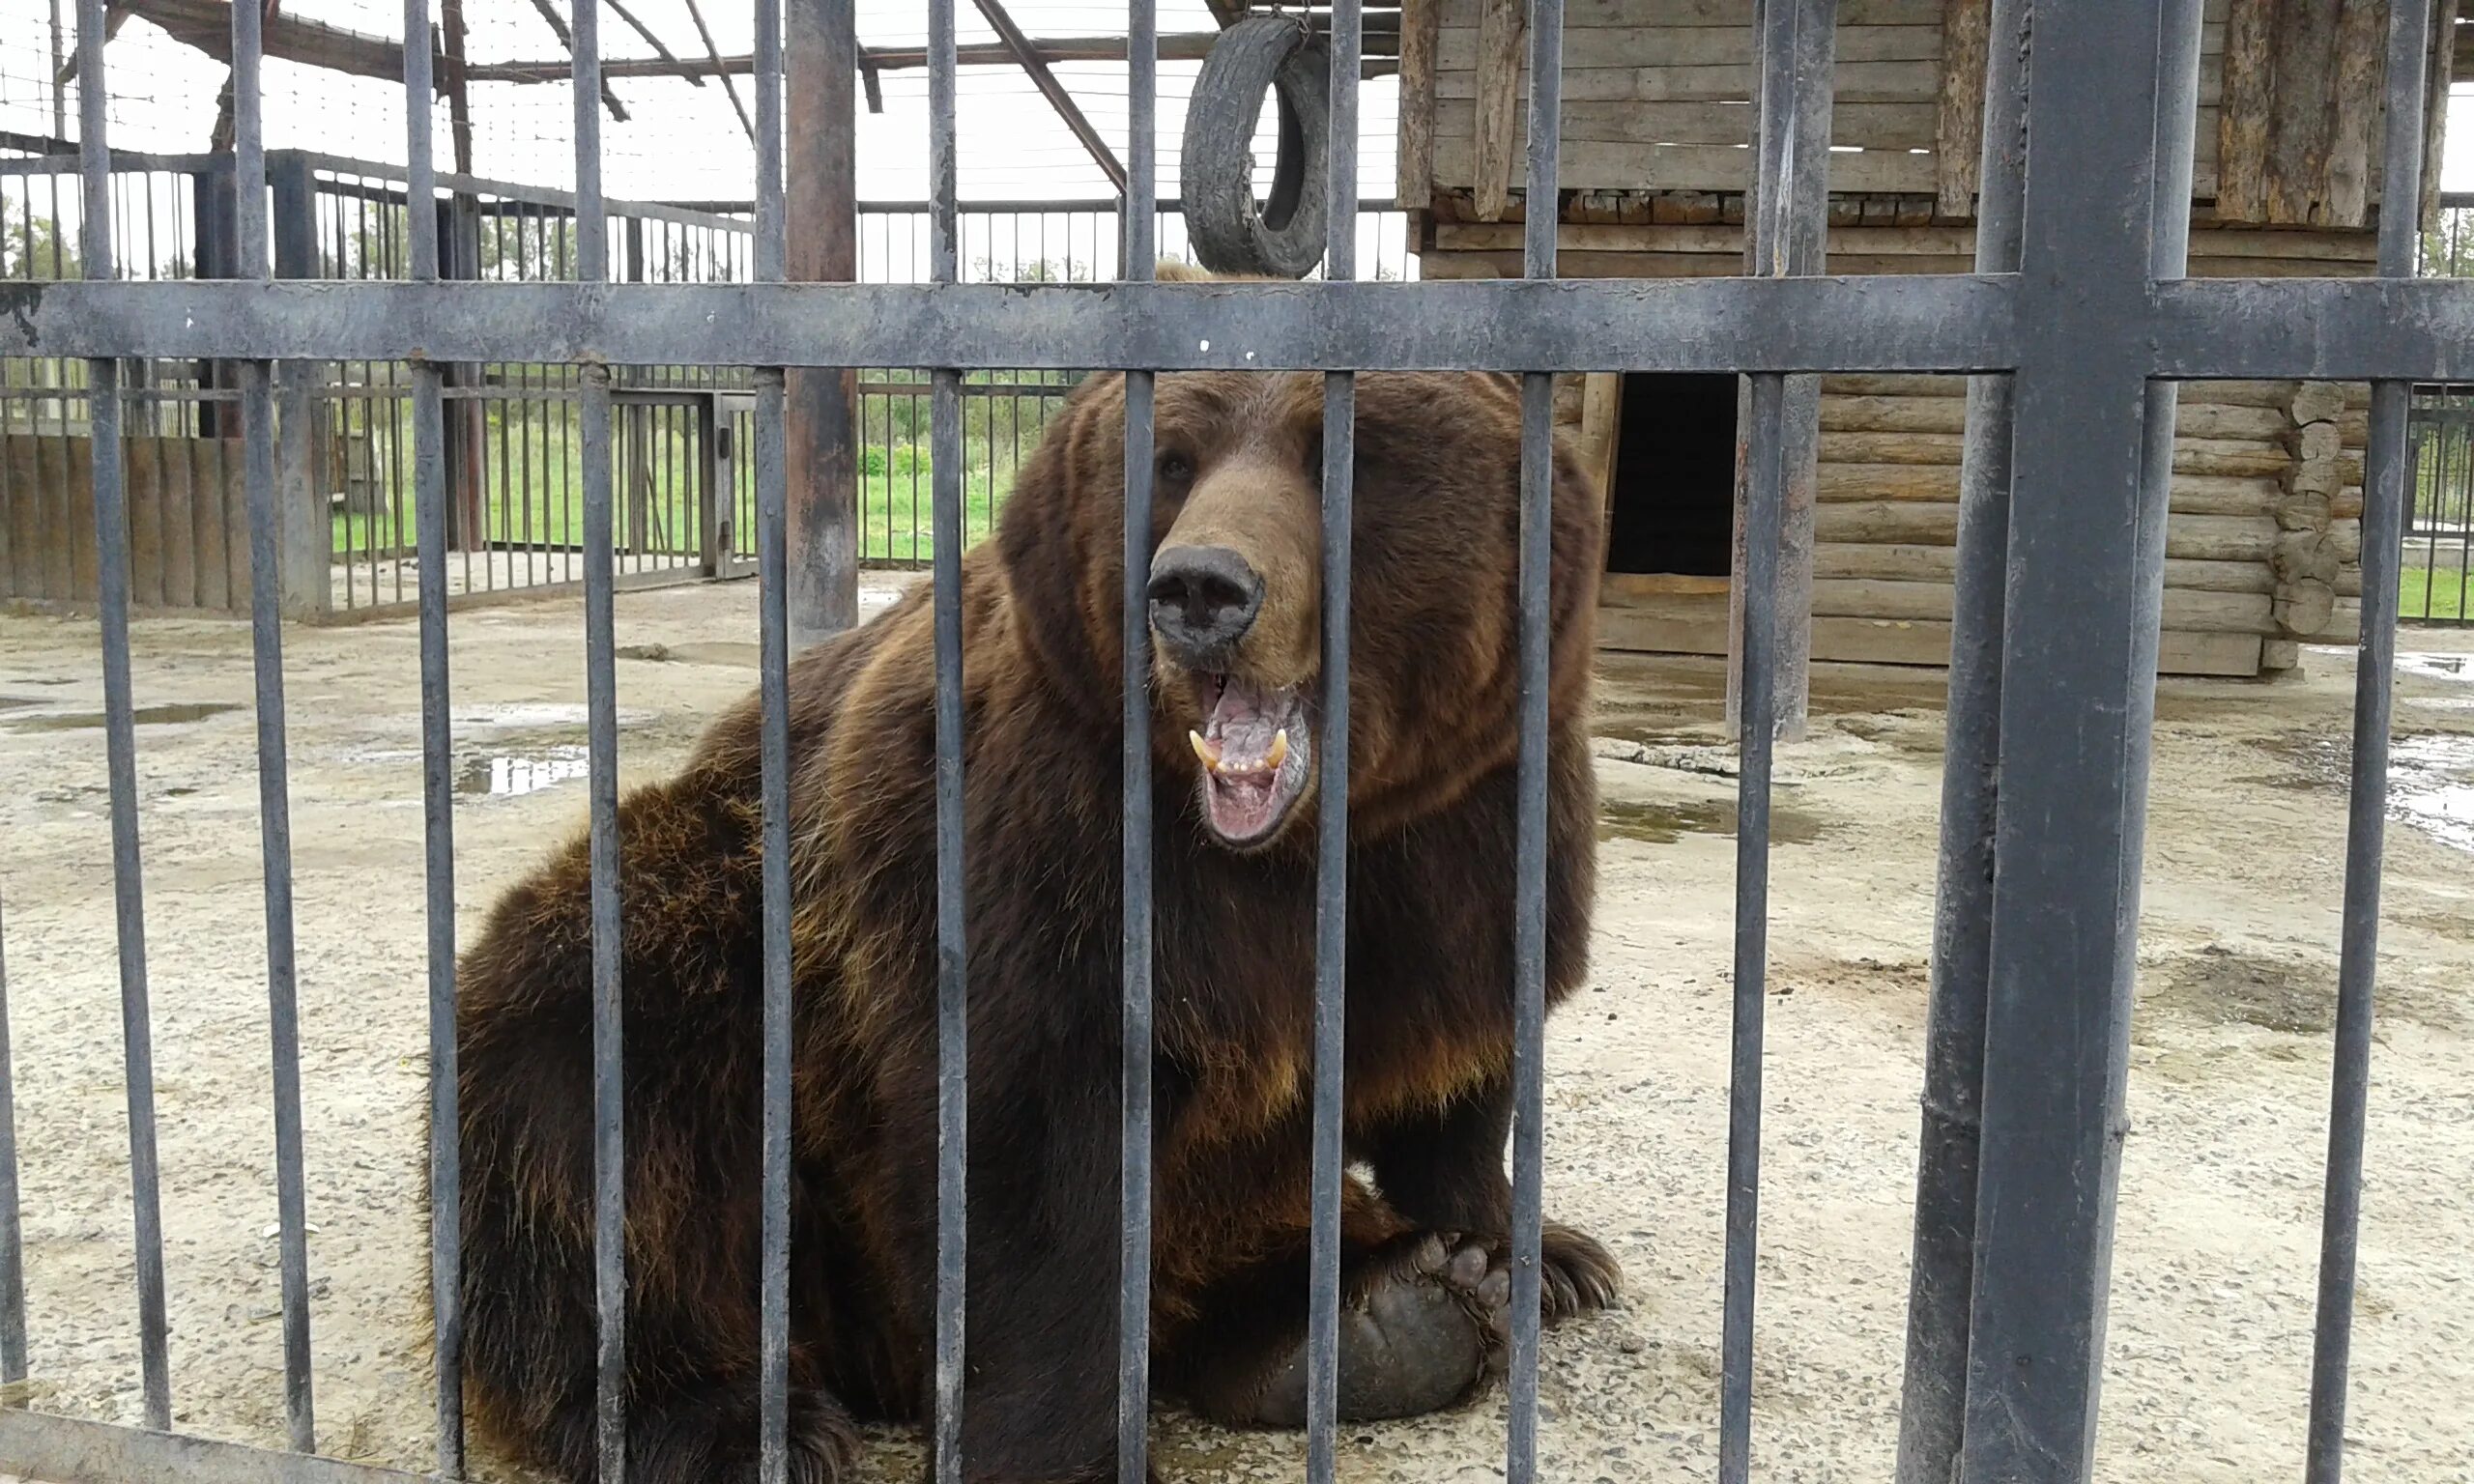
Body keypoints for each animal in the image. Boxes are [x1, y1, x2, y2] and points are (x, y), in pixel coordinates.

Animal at [447, 319, 1623, 1473]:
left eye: (1338, 452)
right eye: (1171, 459)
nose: (1199, 589)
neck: (1300, 844)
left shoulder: (1470, 839)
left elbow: (1463, 1060)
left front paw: (1532, 1255)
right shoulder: (1047, 845)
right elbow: (1036, 1149)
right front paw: (1052, 1438)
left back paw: (1374, 1315)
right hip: (736, 934)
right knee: (595, 1073)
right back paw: (725, 1417)